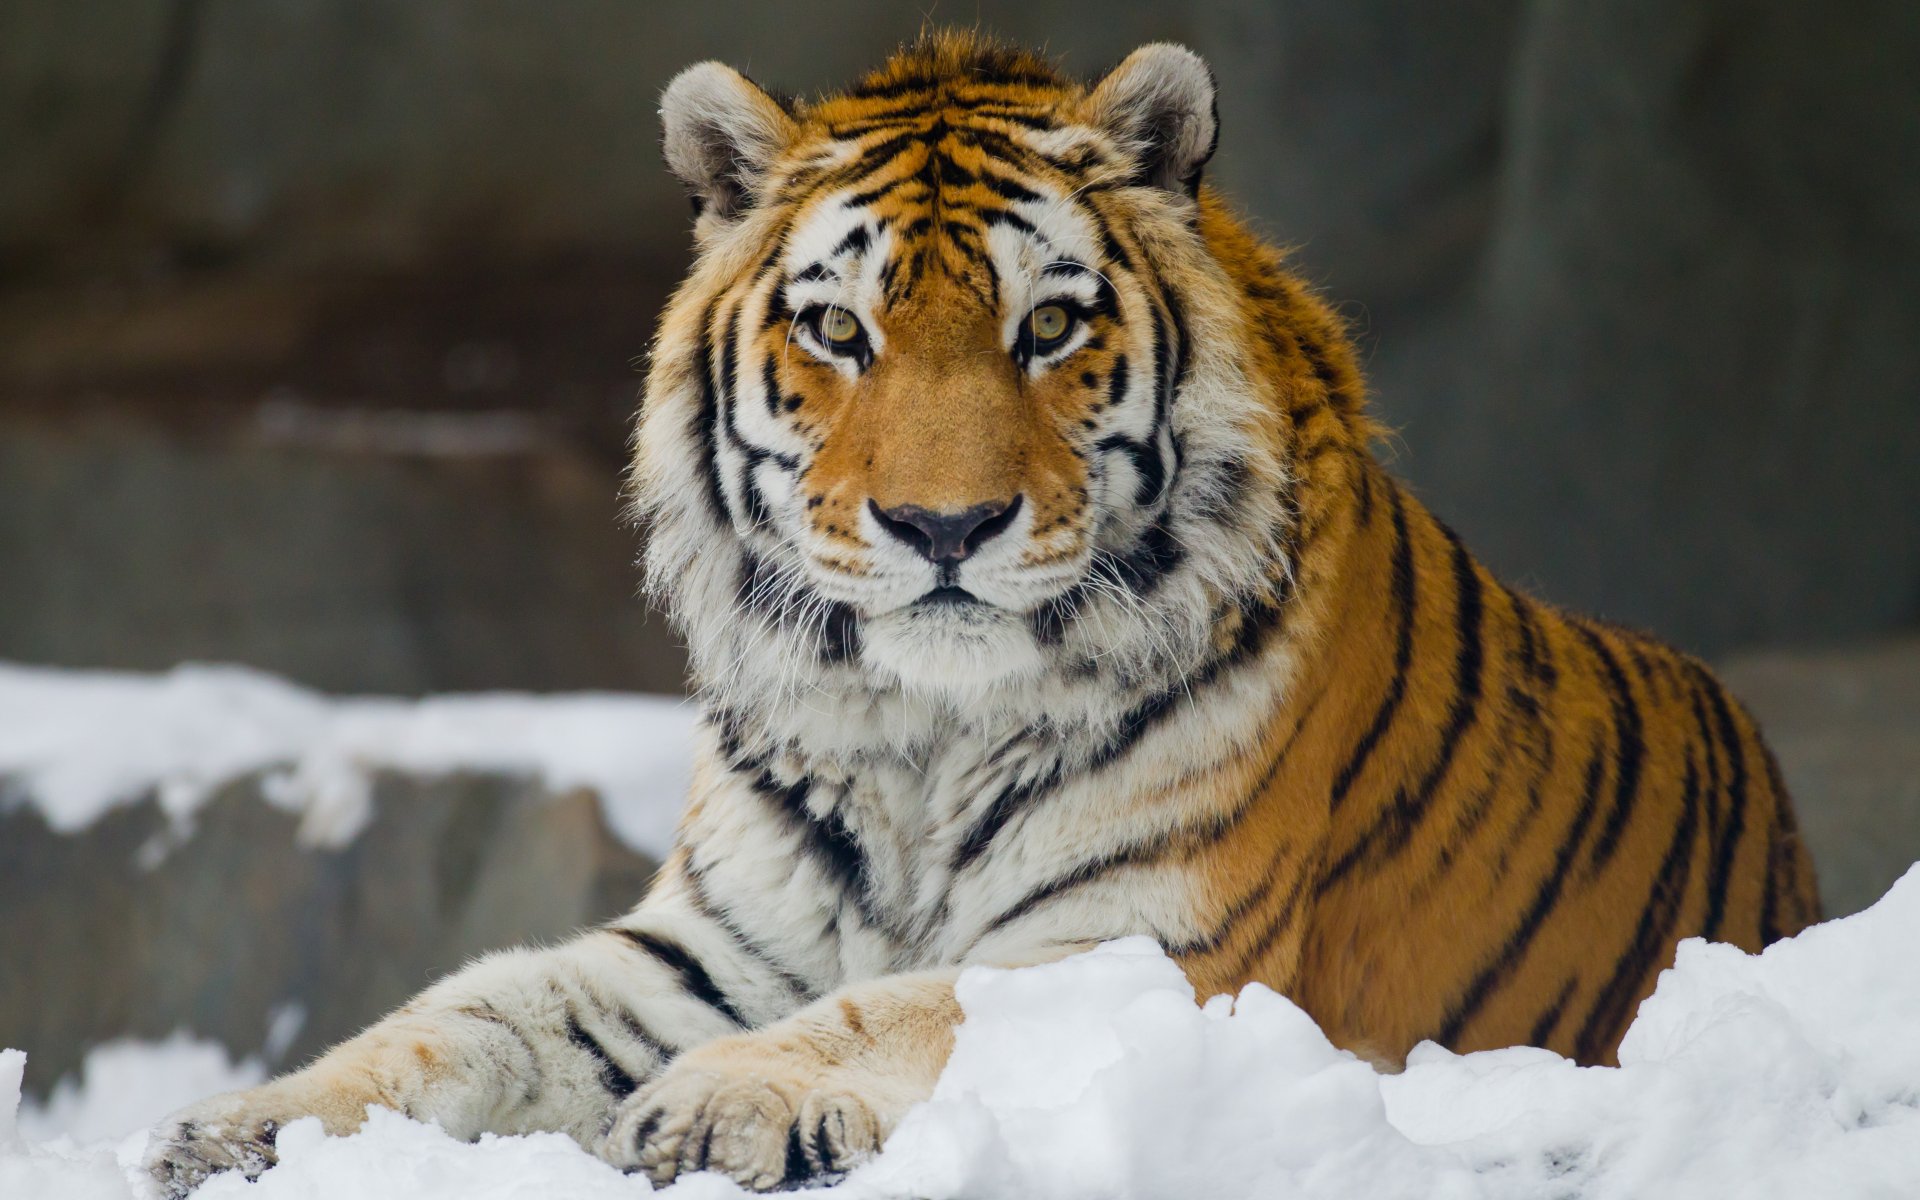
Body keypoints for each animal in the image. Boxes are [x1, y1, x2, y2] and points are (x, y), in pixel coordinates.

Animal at [145, 32, 1812, 1190]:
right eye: (837, 331)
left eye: (1051, 325)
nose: (944, 528)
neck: (922, 733)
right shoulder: (704, 948)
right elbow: (466, 1012)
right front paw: (237, 1130)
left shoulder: (1152, 951)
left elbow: (898, 1005)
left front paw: (712, 1103)